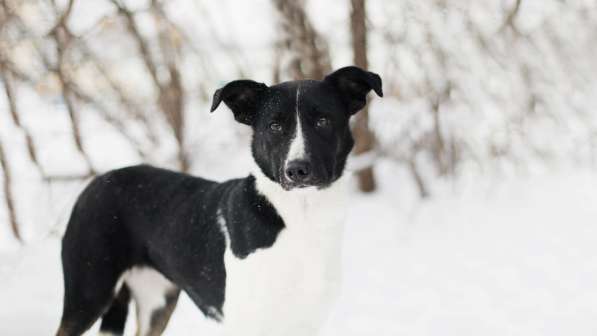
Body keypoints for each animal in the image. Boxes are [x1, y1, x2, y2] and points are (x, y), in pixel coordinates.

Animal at [56, 66, 382, 336]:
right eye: (275, 126)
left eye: (323, 121)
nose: (297, 170)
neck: (300, 217)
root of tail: (99, 180)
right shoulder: (247, 323)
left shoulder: (306, 323)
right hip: (88, 292)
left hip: (156, 300)